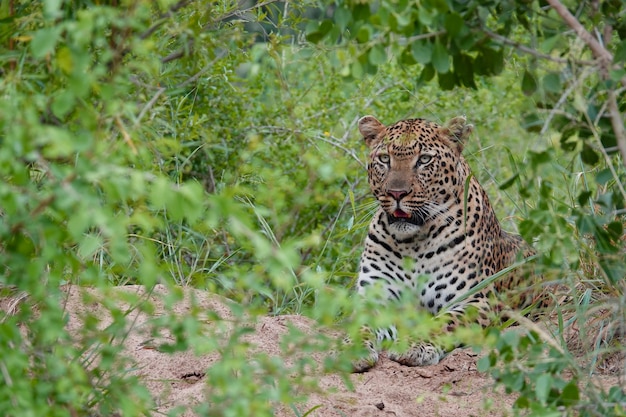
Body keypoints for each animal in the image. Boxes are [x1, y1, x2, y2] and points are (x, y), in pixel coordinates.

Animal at [352, 114, 544, 370]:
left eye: (424, 160)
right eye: (384, 159)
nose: (396, 193)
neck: (412, 243)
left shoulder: (476, 301)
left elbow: (442, 322)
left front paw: (414, 346)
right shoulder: (374, 297)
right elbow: (359, 325)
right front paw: (351, 350)